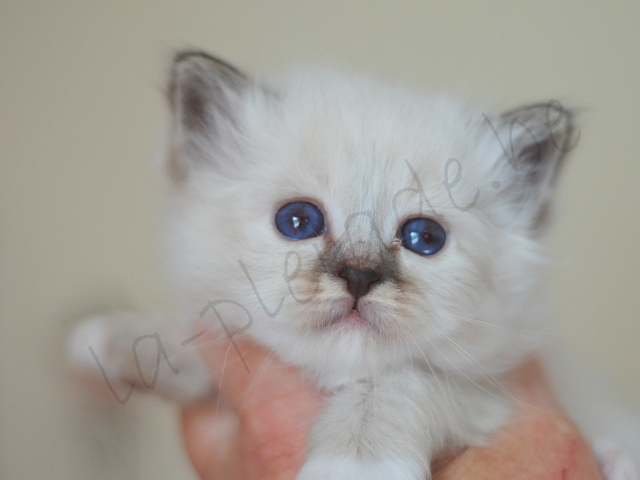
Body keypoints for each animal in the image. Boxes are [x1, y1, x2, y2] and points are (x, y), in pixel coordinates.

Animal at [67, 50, 636, 478]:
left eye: (424, 238)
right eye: (298, 221)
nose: (360, 277)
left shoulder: (485, 393)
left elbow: (388, 387)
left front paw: (356, 464)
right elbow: (202, 335)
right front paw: (114, 343)